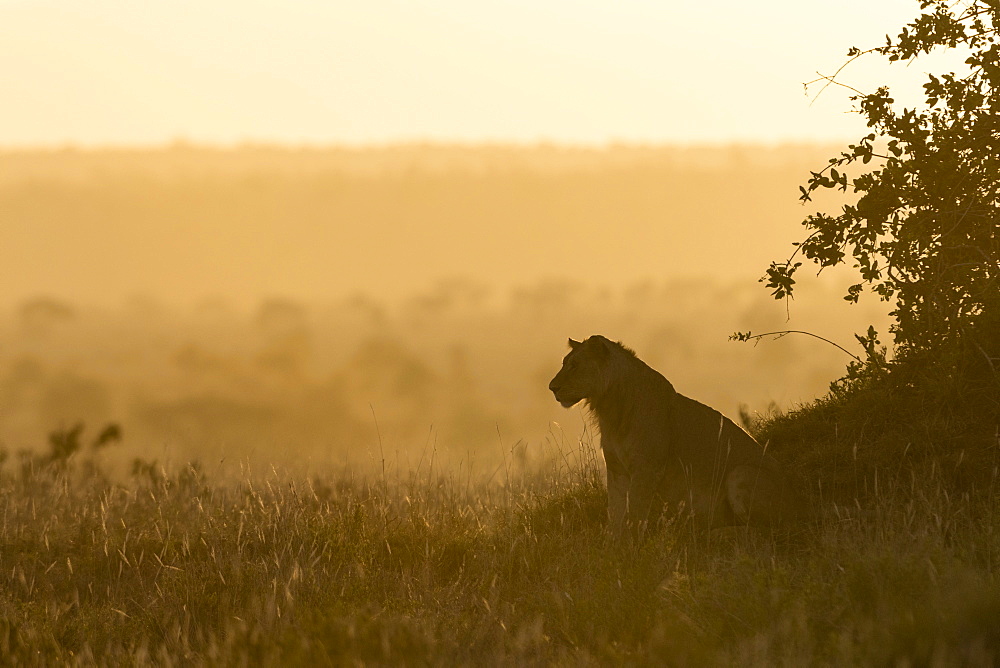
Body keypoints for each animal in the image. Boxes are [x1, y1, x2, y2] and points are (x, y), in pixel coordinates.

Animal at [548, 336, 804, 536]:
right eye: (564, 363)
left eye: (574, 365)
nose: (552, 387)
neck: (609, 407)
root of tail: (799, 502)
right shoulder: (616, 469)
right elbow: (615, 513)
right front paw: (612, 548)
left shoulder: (647, 469)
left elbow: (634, 515)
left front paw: (629, 551)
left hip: (740, 473)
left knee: (772, 531)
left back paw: (719, 532)